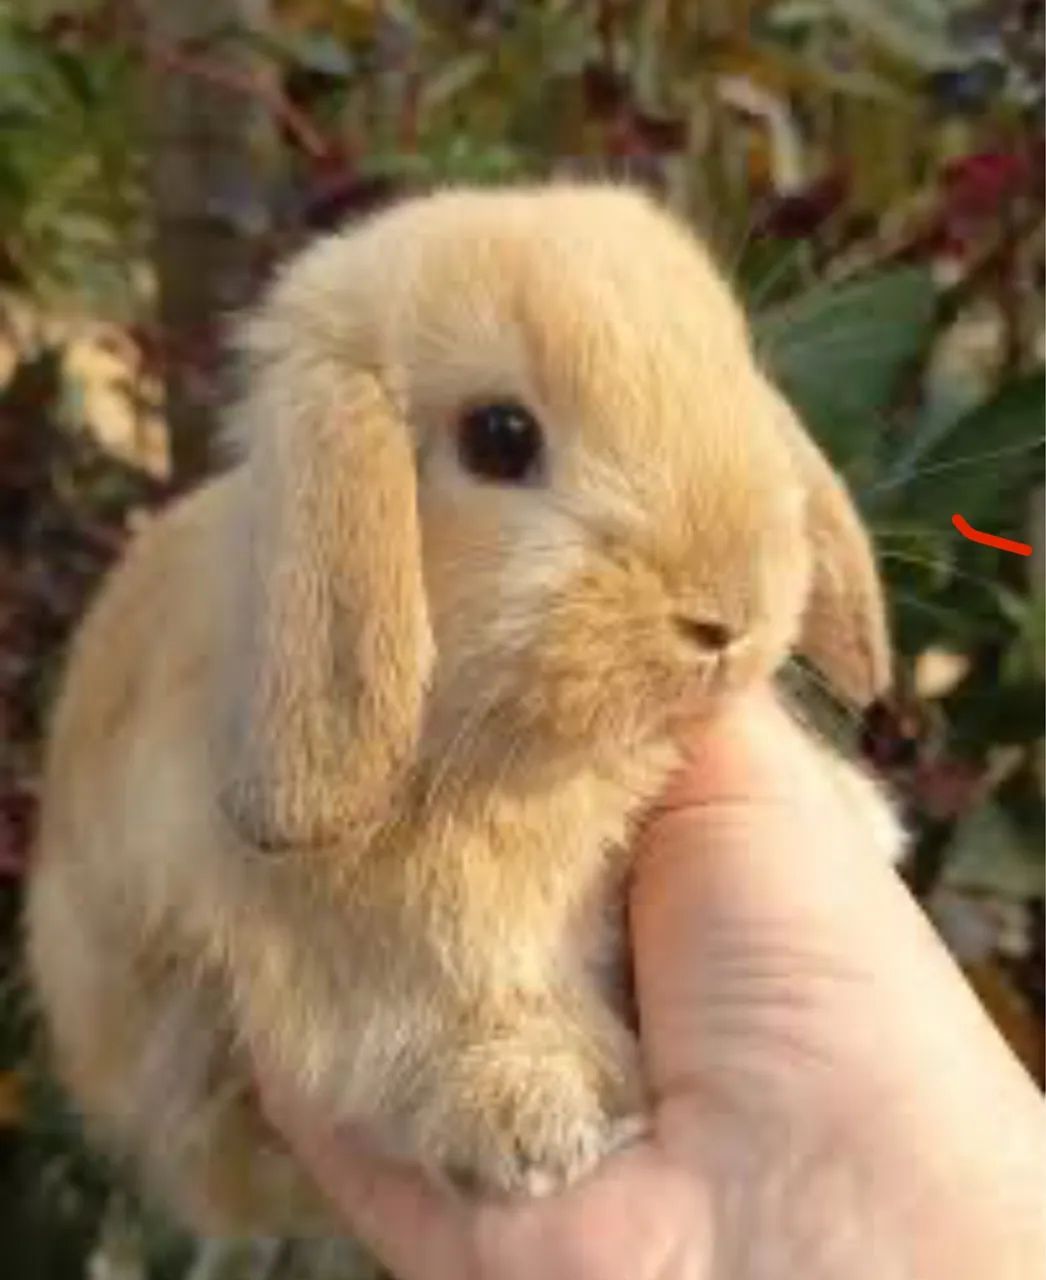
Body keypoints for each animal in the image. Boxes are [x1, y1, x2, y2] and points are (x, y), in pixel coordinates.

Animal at [25, 181, 900, 1236]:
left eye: (734, 374)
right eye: (500, 437)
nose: (728, 612)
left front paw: (866, 816)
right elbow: (449, 1006)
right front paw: (542, 1116)